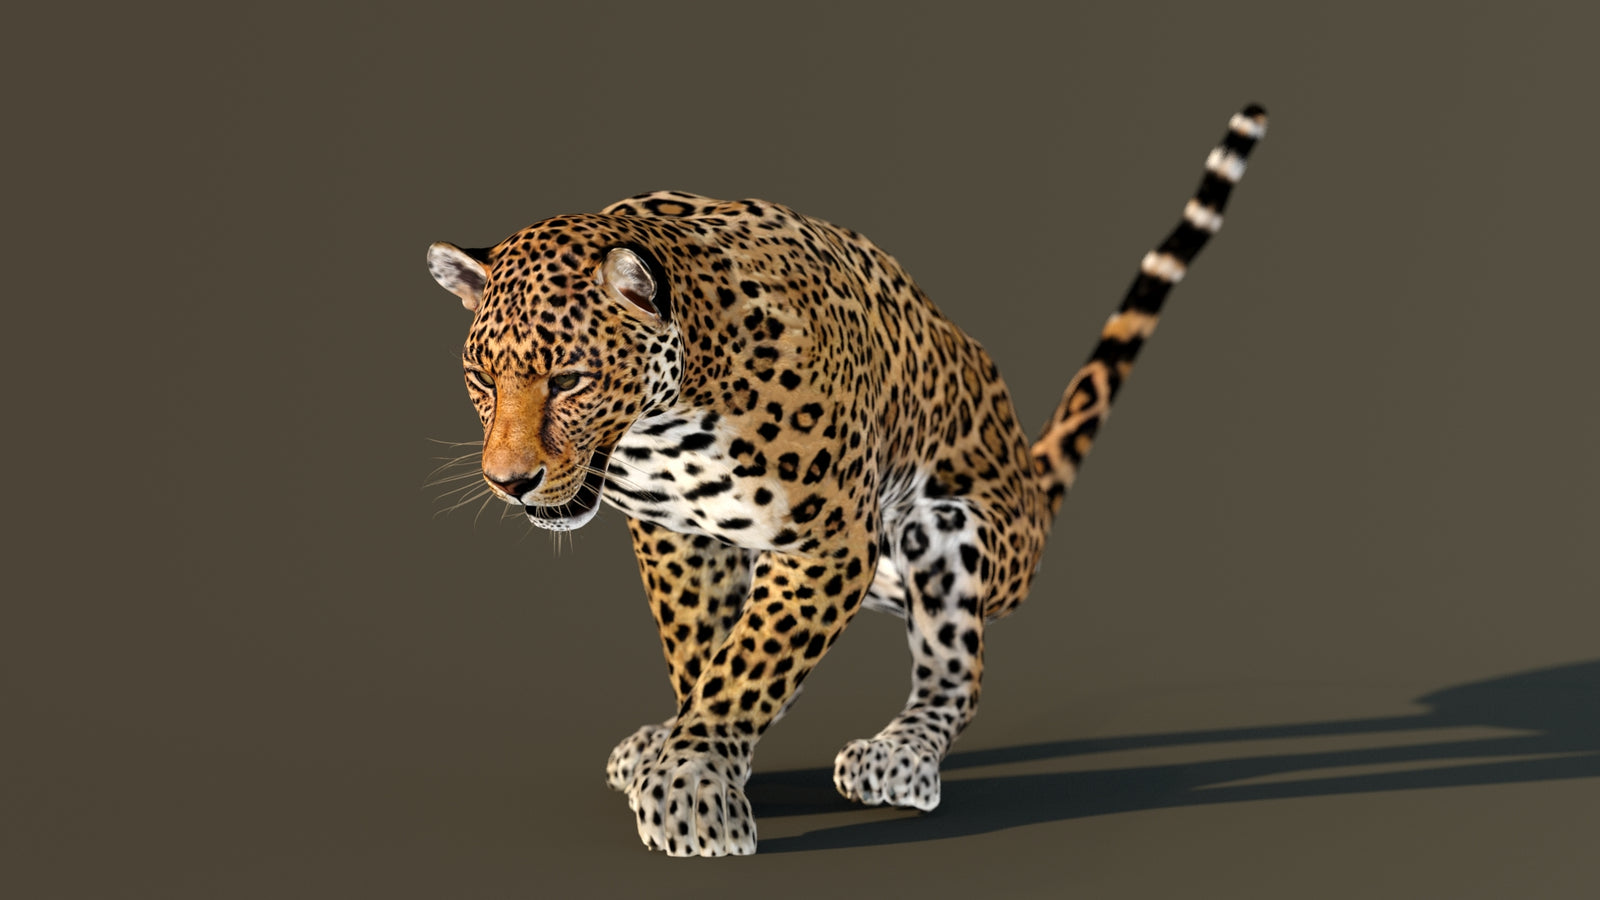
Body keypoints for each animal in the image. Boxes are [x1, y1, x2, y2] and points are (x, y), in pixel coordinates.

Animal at [426, 104, 1267, 856]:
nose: (509, 482)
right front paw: (689, 751)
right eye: (481, 379)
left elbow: (750, 661)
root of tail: (1030, 489)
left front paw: (690, 782)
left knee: (959, 669)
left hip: (945, 530)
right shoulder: (679, 535)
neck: (664, 422)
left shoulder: (828, 541)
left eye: (570, 379)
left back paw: (901, 756)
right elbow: (700, 650)